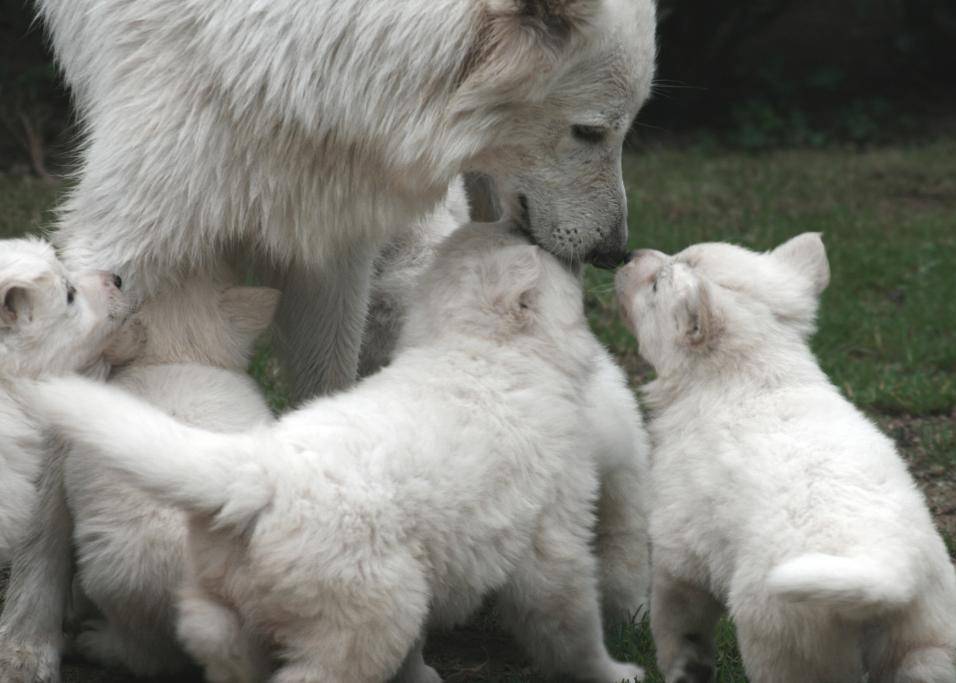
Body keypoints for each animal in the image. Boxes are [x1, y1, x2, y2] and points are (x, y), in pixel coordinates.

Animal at [612, 232, 956, 680]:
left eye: (655, 286)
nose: (627, 254)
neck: (752, 376)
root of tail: (891, 576)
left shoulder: (678, 552)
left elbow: (675, 629)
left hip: (781, 641)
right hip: (928, 645)